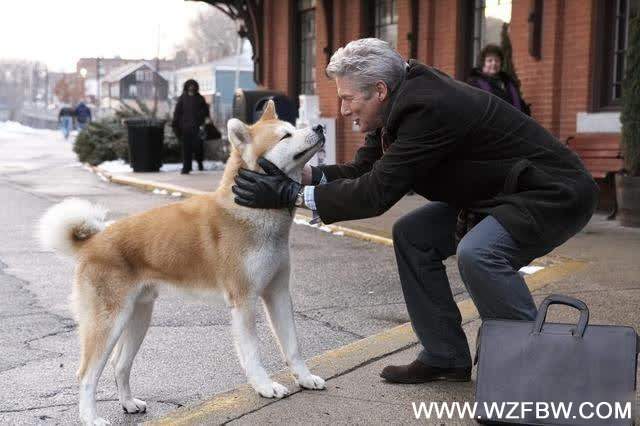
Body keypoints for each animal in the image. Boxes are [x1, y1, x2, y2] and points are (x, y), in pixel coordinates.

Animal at [36, 101, 324, 424]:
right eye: (285, 135)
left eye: (294, 128)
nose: (319, 127)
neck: (251, 211)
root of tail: (92, 242)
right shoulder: (245, 301)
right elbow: (253, 353)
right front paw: (264, 386)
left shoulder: (277, 293)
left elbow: (293, 345)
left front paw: (304, 377)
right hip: (108, 322)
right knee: (86, 375)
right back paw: (91, 417)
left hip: (138, 316)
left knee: (119, 364)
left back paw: (129, 403)